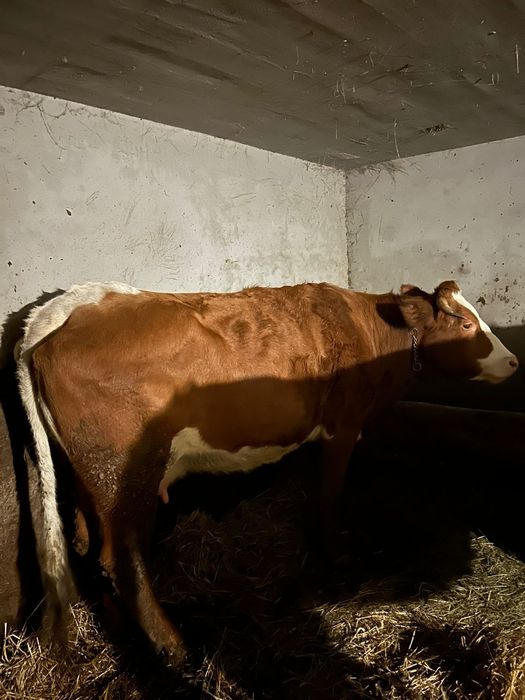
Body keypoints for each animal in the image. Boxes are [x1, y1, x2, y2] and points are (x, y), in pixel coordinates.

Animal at [16, 279, 518, 665]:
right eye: (467, 324)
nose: (513, 361)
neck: (370, 330)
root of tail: (66, 311)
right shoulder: (344, 426)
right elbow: (330, 493)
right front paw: (338, 555)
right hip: (125, 471)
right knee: (119, 557)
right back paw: (172, 645)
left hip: (89, 477)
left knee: (87, 544)